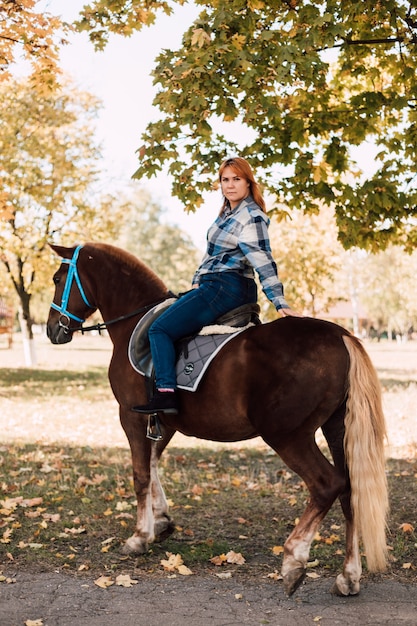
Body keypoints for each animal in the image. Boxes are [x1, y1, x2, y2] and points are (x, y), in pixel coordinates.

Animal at [45, 240, 386, 596]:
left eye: (57, 278)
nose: (52, 329)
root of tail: (339, 335)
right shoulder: (163, 421)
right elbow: (152, 466)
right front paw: (161, 520)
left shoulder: (131, 417)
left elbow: (140, 474)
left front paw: (140, 537)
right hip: (336, 428)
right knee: (349, 490)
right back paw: (348, 575)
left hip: (287, 435)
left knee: (326, 484)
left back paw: (294, 558)